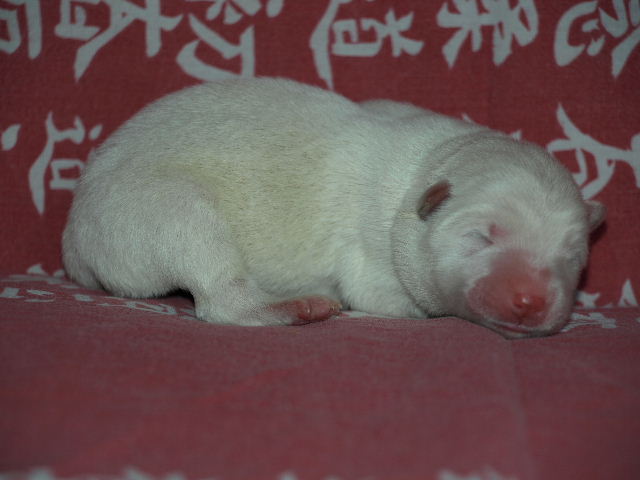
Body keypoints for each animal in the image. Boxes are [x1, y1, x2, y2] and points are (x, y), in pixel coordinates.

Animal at [62, 77, 605, 338]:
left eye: (573, 258)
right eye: (481, 237)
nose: (530, 301)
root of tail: (73, 243)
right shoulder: (373, 264)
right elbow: (385, 299)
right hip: (163, 210)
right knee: (218, 295)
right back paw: (290, 308)